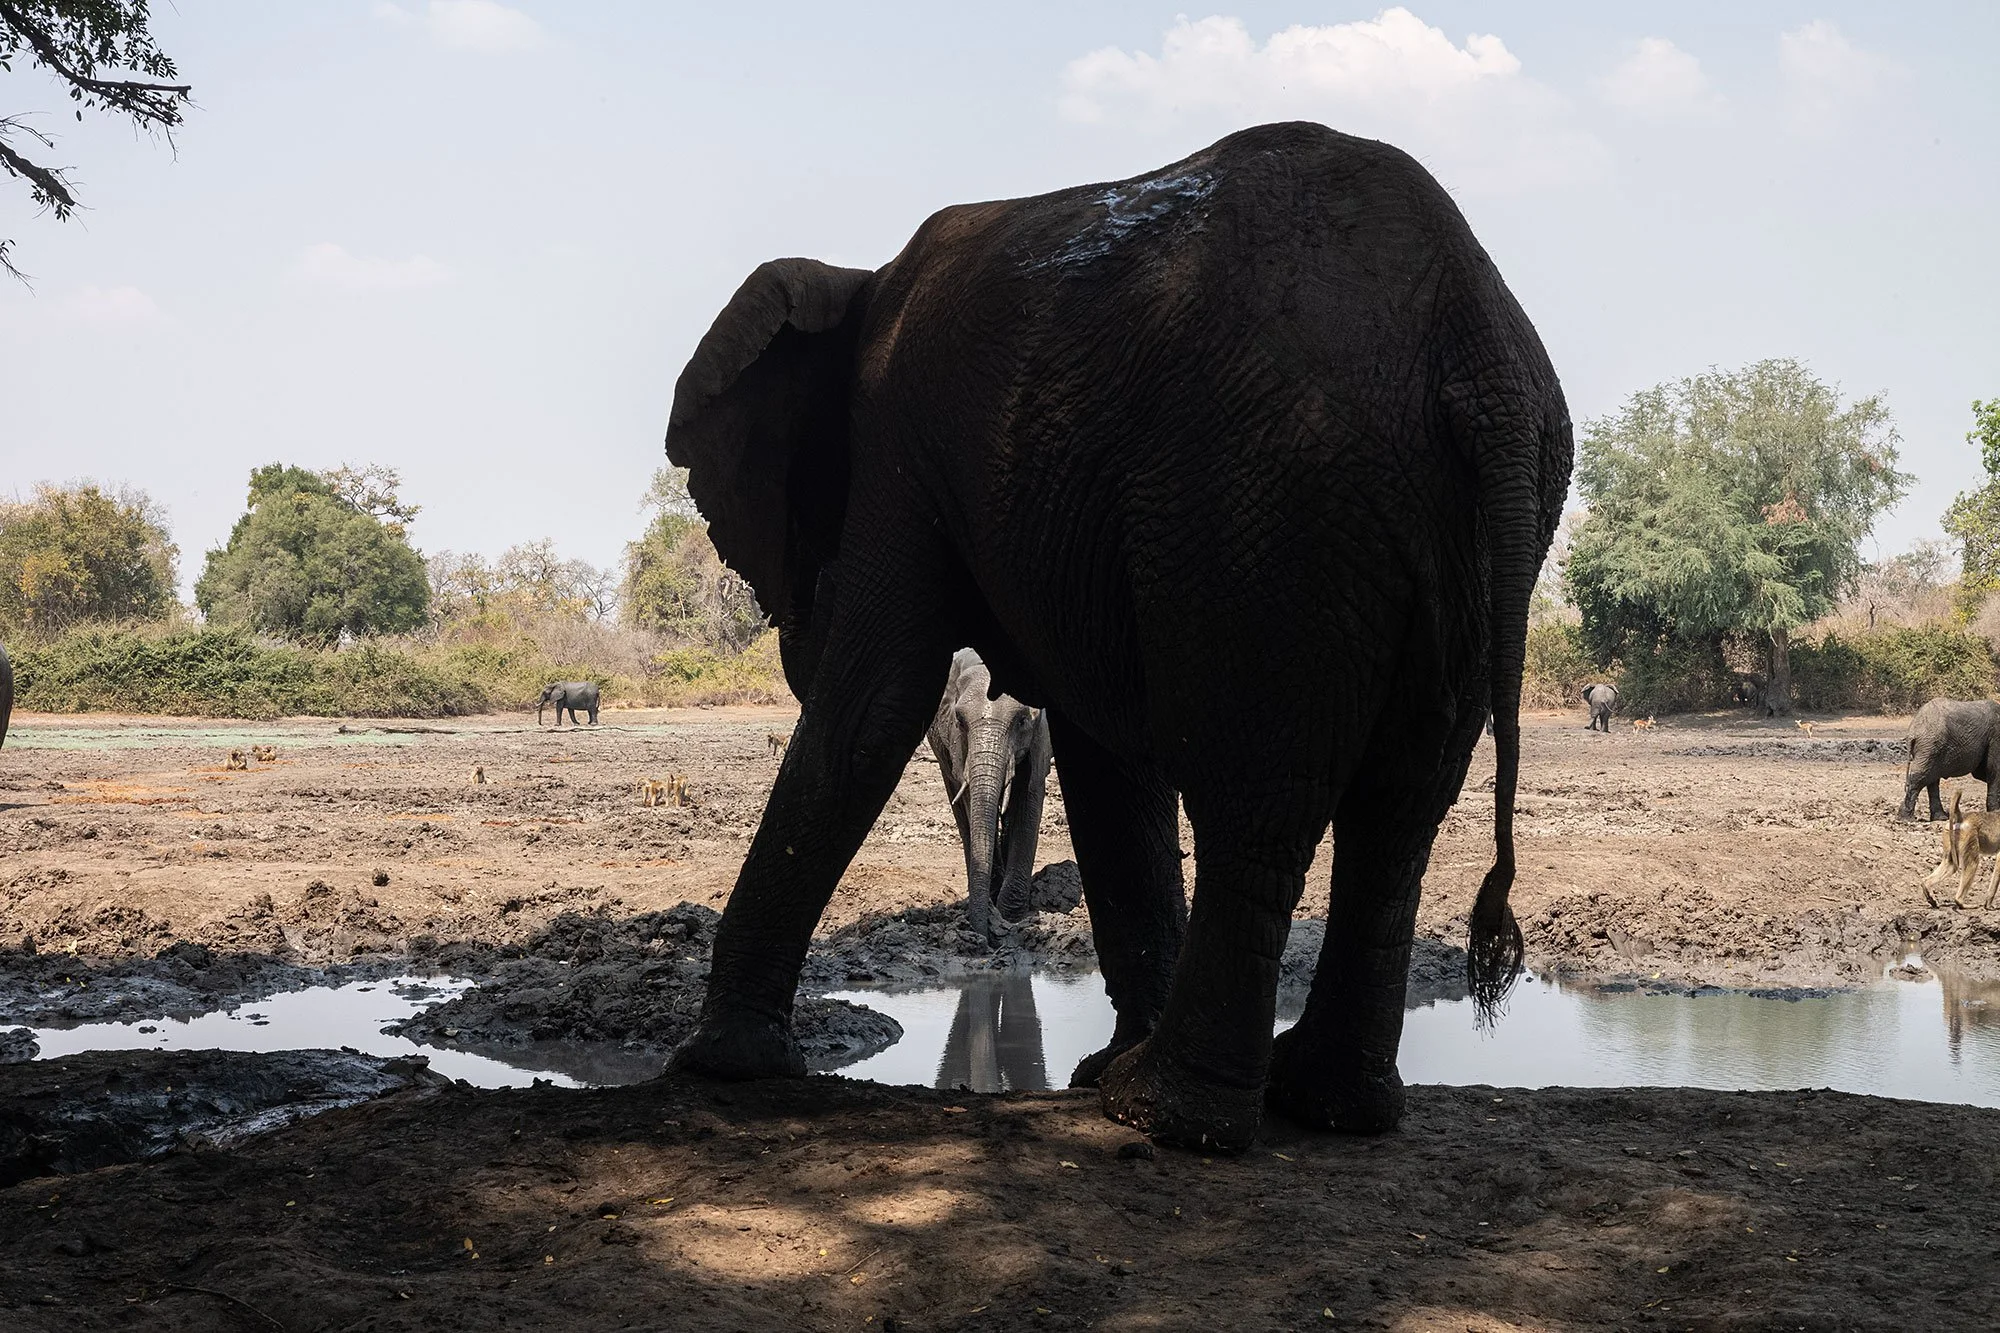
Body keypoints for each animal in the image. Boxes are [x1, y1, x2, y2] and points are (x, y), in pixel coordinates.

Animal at [928, 648, 1053, 943]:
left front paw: (1010, 916)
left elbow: (1028, 795)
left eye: (1022, 720)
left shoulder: (1041, 736)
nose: (983, 938)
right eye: (960, 721)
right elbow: (970, 797)